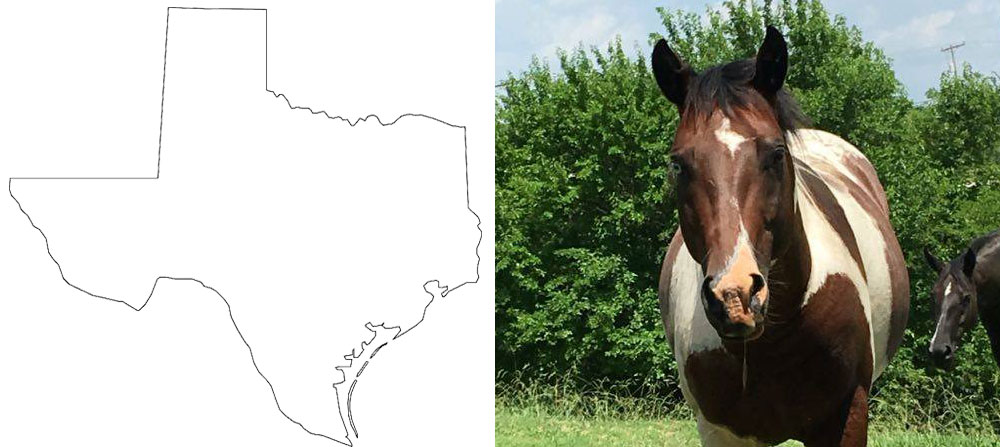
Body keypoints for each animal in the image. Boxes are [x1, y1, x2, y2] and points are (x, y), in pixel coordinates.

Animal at [654, 26, 910, 446]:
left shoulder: (847, 415)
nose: (736, 296)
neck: (774, 341)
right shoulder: (721, 431)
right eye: (678, 164)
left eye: (776, 154)